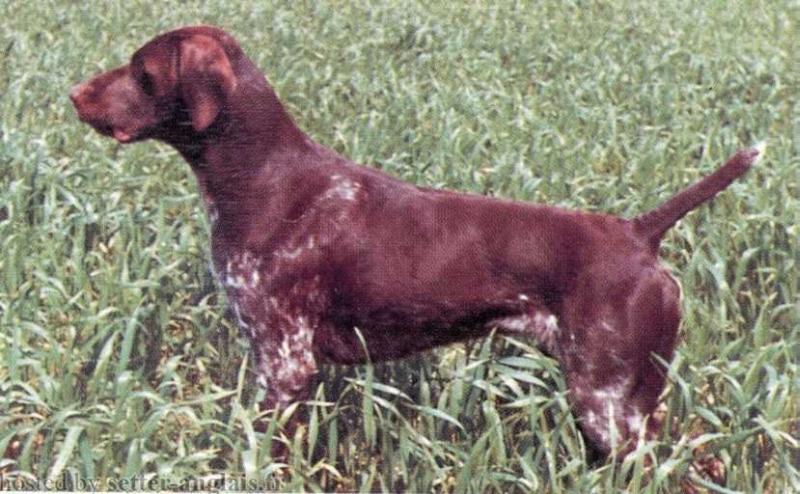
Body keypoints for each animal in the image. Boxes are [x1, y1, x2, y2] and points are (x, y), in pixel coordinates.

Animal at [67, 27, 756, 458]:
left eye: (142, 70)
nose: (72, 94)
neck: (259, 177)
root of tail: (637, 234)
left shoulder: (285, 363)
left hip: (609, 403)